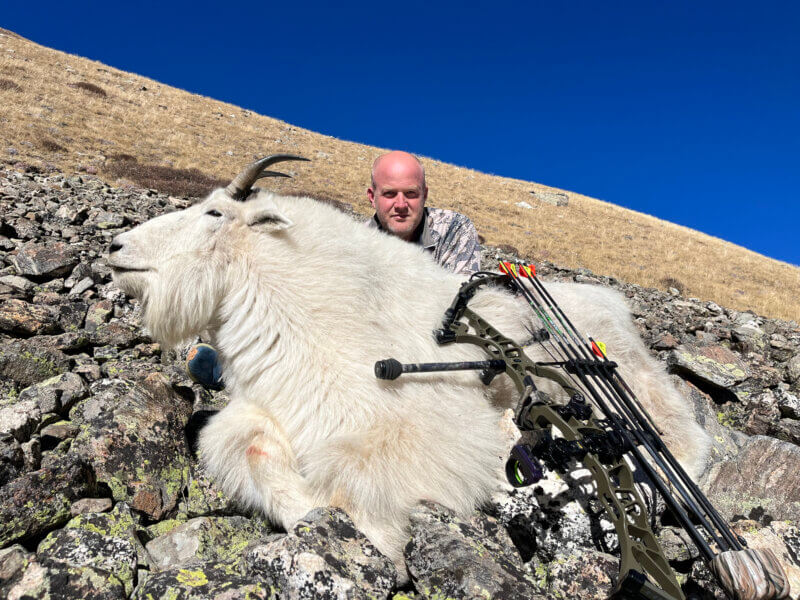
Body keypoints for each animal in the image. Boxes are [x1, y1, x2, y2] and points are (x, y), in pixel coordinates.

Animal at [109, 156, 710, 574]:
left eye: (213, 213)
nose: (116, 247)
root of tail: (615, 308)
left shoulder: (417, 424)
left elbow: (357, 483)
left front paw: (384, 542)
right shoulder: (271, 406)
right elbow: (247, 447)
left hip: (635, 391)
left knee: (678, 444)